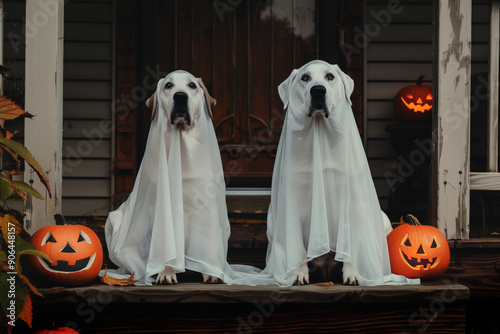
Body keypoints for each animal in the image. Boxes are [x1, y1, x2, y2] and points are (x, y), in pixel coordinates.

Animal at [105, 70, 232, 284]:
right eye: (168, 86)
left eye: (192, 85)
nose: (180, 96)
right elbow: (165, 245)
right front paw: (166, 272)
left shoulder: (206, 208)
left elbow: (207, 245)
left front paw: (211, 273)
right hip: (114, 220)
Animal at [262, 59, 398, 284]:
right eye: (305, 77)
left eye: (330, 77)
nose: (318, 90)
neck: (321, 134)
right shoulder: (292, 200)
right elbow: (298, 246)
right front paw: (299, 273)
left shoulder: (352, 202)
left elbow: (349, 245)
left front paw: (352, 274)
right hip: (272, 220)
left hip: (382, 218)